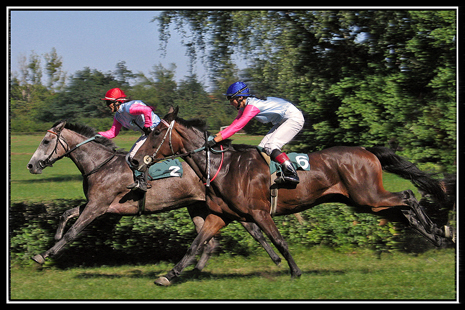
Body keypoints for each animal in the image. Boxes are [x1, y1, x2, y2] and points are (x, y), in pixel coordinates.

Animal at [27, 121, 280, 268]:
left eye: (46, 141)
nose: (31, 165)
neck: (100, 164)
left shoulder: (97, 206)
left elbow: (74, 232)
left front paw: (44, 254)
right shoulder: (96, 203)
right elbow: (66, 213)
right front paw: (56, 236)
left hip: (226, 205)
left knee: (254, 230)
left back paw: (276, 258)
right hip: (197, 206)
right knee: (210, 240)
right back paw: (196, 269)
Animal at [130, 106, 454, 286]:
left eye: (156, 132)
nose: (134, 160)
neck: (222, 167)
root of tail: (366, 150)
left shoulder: (259, 212)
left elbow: (279, 240)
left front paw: (295, 271)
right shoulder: (220, 216)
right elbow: (195, 244)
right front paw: (168, 276)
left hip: (368, 196)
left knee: (408, 195)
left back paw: (442, 232)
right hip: (364, 202)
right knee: (403, 209)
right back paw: (436, 234)